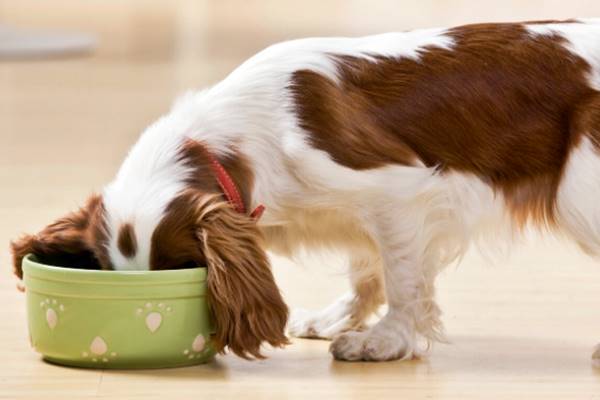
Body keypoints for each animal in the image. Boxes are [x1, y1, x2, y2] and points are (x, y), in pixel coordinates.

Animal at [10, 18, 600, 362]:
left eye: (185, 269)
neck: (237, 142)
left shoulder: (398, 193)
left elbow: (404, 280)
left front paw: (384, 341)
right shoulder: (365, 215)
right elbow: (368, 270)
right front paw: (338, 317)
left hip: (580, 193)